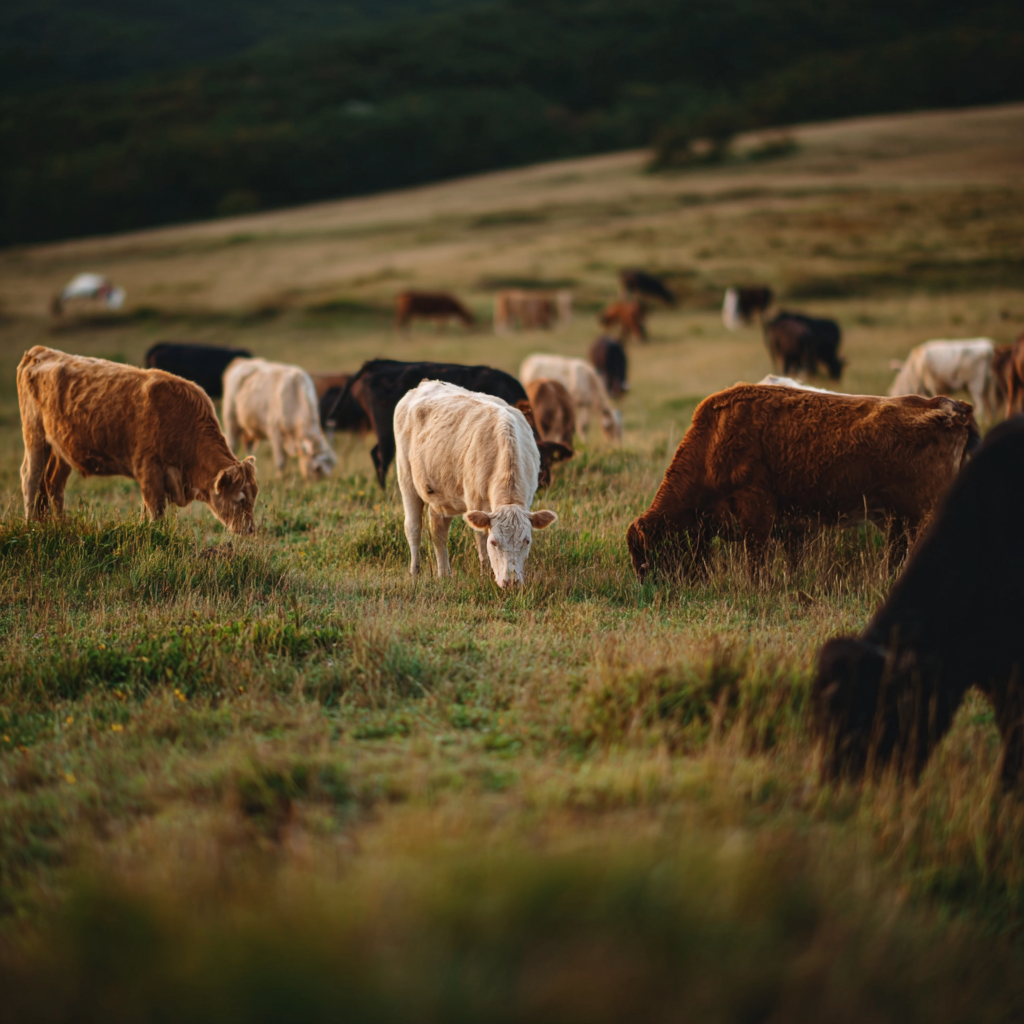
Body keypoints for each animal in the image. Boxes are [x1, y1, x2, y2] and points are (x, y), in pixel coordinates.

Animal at [17, 346, 258, 533]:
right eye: (240, 499)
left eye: (253, 497)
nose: (250, 530)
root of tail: (40, 352)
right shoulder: (148, 471)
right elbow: (155, 510)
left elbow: (147, 510)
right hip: (35, 436)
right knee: (31, 477)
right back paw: (32, 525)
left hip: (61, 449)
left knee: (52, 484)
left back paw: (57, 524)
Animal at [327, 359, 566, 490]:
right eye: (537, 463)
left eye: (549, 460)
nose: (545, 484)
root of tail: (376, 364)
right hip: (386, 430)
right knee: (381, 457)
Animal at [394, 381, 558, 587]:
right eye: (494, 542)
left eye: (526, 541)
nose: (511, 582)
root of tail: (426, 383)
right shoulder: (476, 503)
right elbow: (481, 543)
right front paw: (485, 574)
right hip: (406, 477)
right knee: (413, 528)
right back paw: (415, 572)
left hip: (440, 494)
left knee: (438, 531)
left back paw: (444, 574)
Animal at [626, 384, 979, 583]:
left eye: (650, 555)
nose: (649, 588)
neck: (714, 439)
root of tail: (955, 409)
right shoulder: (791, 526)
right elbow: (790, 561)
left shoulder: (757, 510)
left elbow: (756, 561)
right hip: (900, 518)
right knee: (897, 552)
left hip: (924, 514)